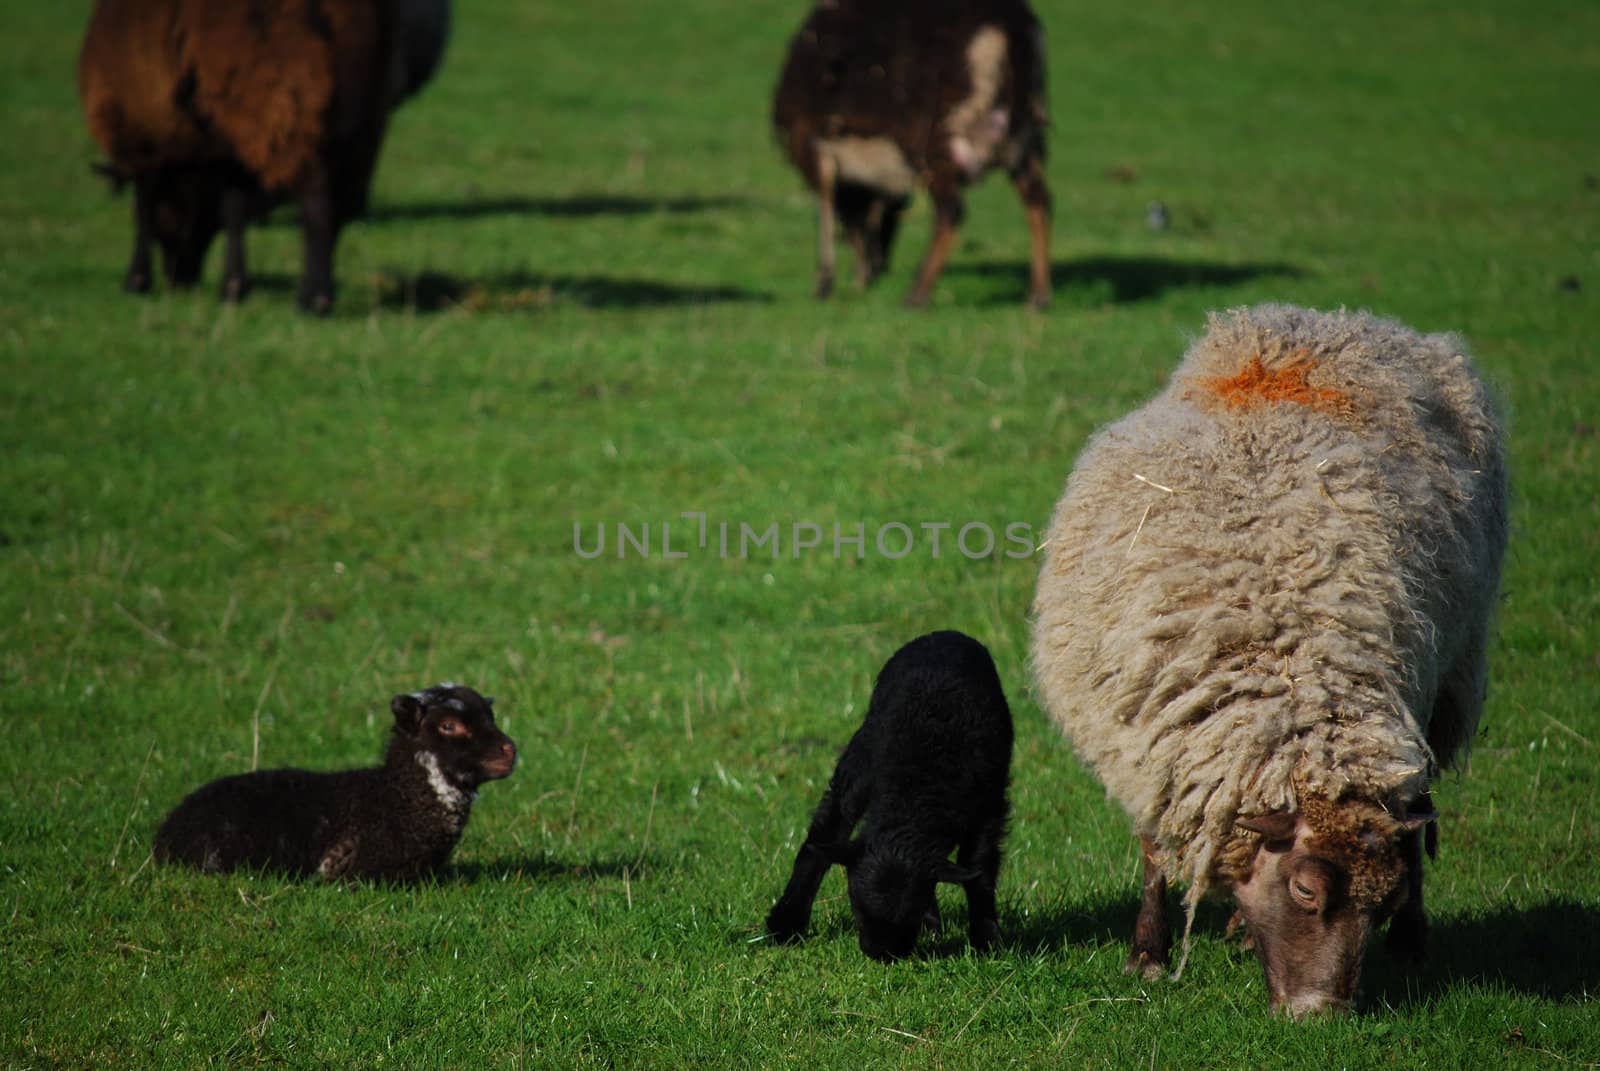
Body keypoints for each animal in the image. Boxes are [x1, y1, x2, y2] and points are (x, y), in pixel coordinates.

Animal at [764, 627, 1011, 960]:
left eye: (910, 913)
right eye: (855, 904)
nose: (882, 955)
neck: (916, 784)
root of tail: (946, 633)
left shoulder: (989, 804)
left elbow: (979, 867)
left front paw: (986, 939)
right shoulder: (857, 779)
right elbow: (825, 836)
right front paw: (786, 922)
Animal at [771, 1, 1049, 308]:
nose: (874, 272)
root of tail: (1007, 28)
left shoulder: (808, 141)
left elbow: (825, 208)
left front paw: (823, 284)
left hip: (942, 131)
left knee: (951, 211)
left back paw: (916, 295)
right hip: (1023, 135)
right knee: (1039, 201)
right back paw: (1038, 296)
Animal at [1030, 304, 1504, 1018]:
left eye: (1380, 902)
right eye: (1306, 892)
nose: (1321, 1016)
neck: (1281, 664)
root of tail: (1330, 321)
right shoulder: (1146, 739)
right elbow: (1152, 850)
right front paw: (1147, 955)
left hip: (1445, 680)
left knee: (1418, 812)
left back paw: (1413, 942)